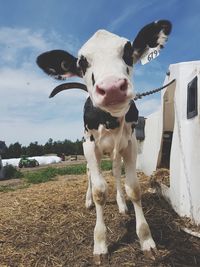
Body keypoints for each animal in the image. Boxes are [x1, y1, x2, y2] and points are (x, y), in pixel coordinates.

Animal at [37, 19, 172, 264]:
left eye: (128, 52)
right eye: (82, 62)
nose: (111, 87)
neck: (110, 119)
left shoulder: (130, 145)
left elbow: (133, 188)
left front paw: (146, 239)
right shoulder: (90, 147)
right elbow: (100, 191)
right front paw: (100, 243)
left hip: (116, 152)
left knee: (117, 172)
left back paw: (121, 204)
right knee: (90, 175)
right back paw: (88, 201)